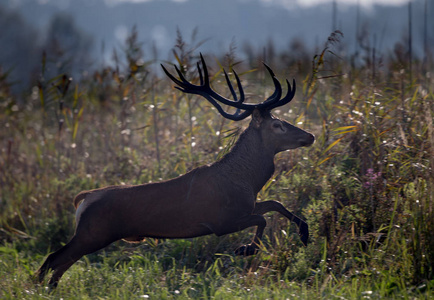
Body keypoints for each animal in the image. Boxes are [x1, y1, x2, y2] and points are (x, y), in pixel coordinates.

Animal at [34, 54, 312, 288]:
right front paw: (246, 249)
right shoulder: (220, 220)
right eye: (277, 125)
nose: (310, 135)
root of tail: (83, 198)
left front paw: (305, 233)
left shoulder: (246, 207)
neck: (247, 180)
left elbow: (274, 204)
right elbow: (263, 219)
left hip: (90, 235)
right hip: (92, 233)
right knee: (52, 259)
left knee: (60, 266)